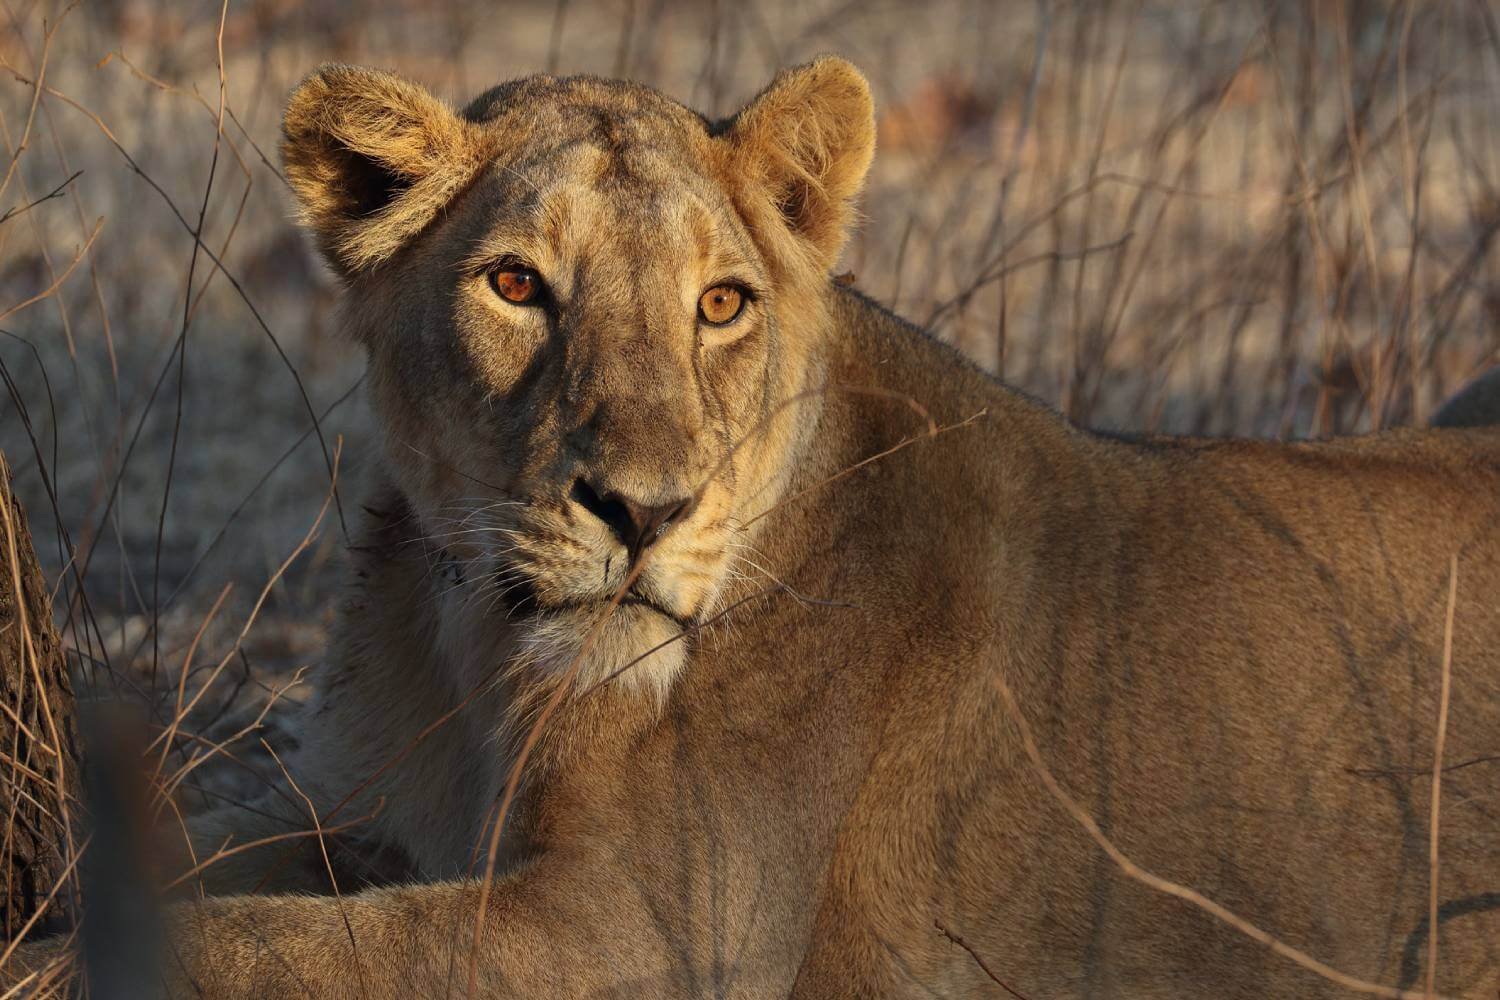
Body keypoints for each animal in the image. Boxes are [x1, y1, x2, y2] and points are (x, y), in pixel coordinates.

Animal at [11, 58, 1500, 995]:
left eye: (721, 303)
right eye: (516, 285)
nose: (643, 510)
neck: (477, 656)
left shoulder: (640, 935)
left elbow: (263, 947)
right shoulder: (359, 812)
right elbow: (170, 846)